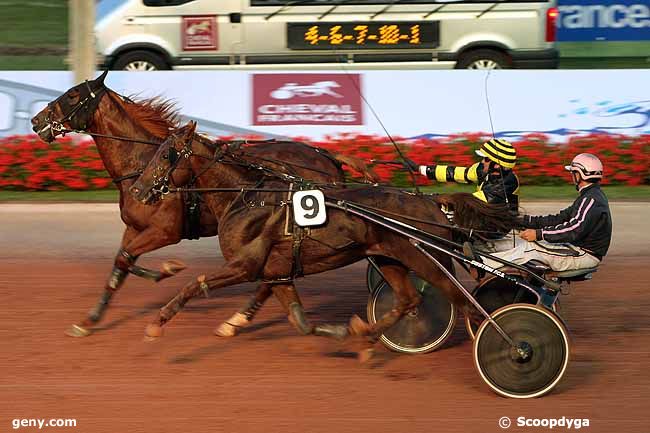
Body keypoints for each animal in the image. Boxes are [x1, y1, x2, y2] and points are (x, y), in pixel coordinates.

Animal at [29, 71, 374, 336]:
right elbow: (120, 264)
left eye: (73, 94)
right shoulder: (135, 227)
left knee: (269, 278)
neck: (144, 163)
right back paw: (236, 321)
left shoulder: (165, 230)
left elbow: (127, 259)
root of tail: (326, 156)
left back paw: (235, 321)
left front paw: (167, 270)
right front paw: (90, 320)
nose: (36, 120)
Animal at [132, 120, 512, 348]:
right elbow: (299, 320)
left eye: (166, 154)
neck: (247, 196)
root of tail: (431, 203)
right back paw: (368, 334)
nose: (137, 190)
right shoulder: (277, 273)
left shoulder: (245, 266)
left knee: (463, 301)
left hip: (426, 258)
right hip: (390, 257)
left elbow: (193, 284)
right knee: (409, 300)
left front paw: (156, 323)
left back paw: (509, 346)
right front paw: (342, 330)